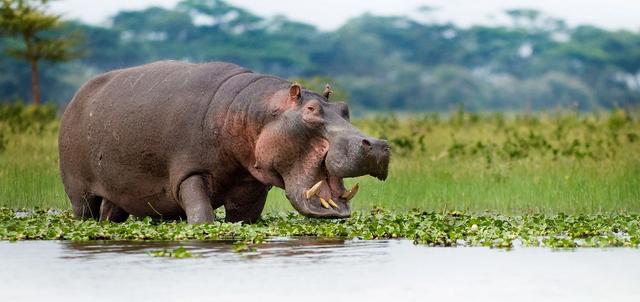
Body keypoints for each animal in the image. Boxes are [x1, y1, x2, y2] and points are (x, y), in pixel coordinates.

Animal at [58, 60, 390, 223]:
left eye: (344, 108)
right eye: (310, 110)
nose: (378, 144)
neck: (253, 112)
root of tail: (76, 96)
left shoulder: (250, 184)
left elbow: (243, 219)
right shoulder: (189, 172)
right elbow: (202, 217)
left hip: (119, 194)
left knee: (111, 214)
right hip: (79, 192)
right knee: (84, 213)